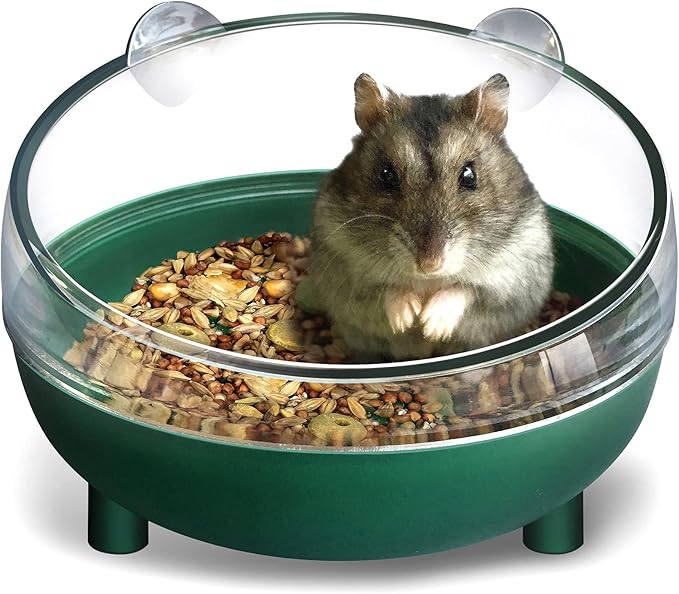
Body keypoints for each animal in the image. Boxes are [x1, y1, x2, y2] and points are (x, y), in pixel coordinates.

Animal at [309, 73, 554, 362]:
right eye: (386, 175)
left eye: (469, 175)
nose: (429, 265)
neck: (427, 282)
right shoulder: (346, 272)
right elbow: (387, 288)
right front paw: (407, 319)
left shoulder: (510, 282)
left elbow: (464, 289)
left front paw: (430, 327)